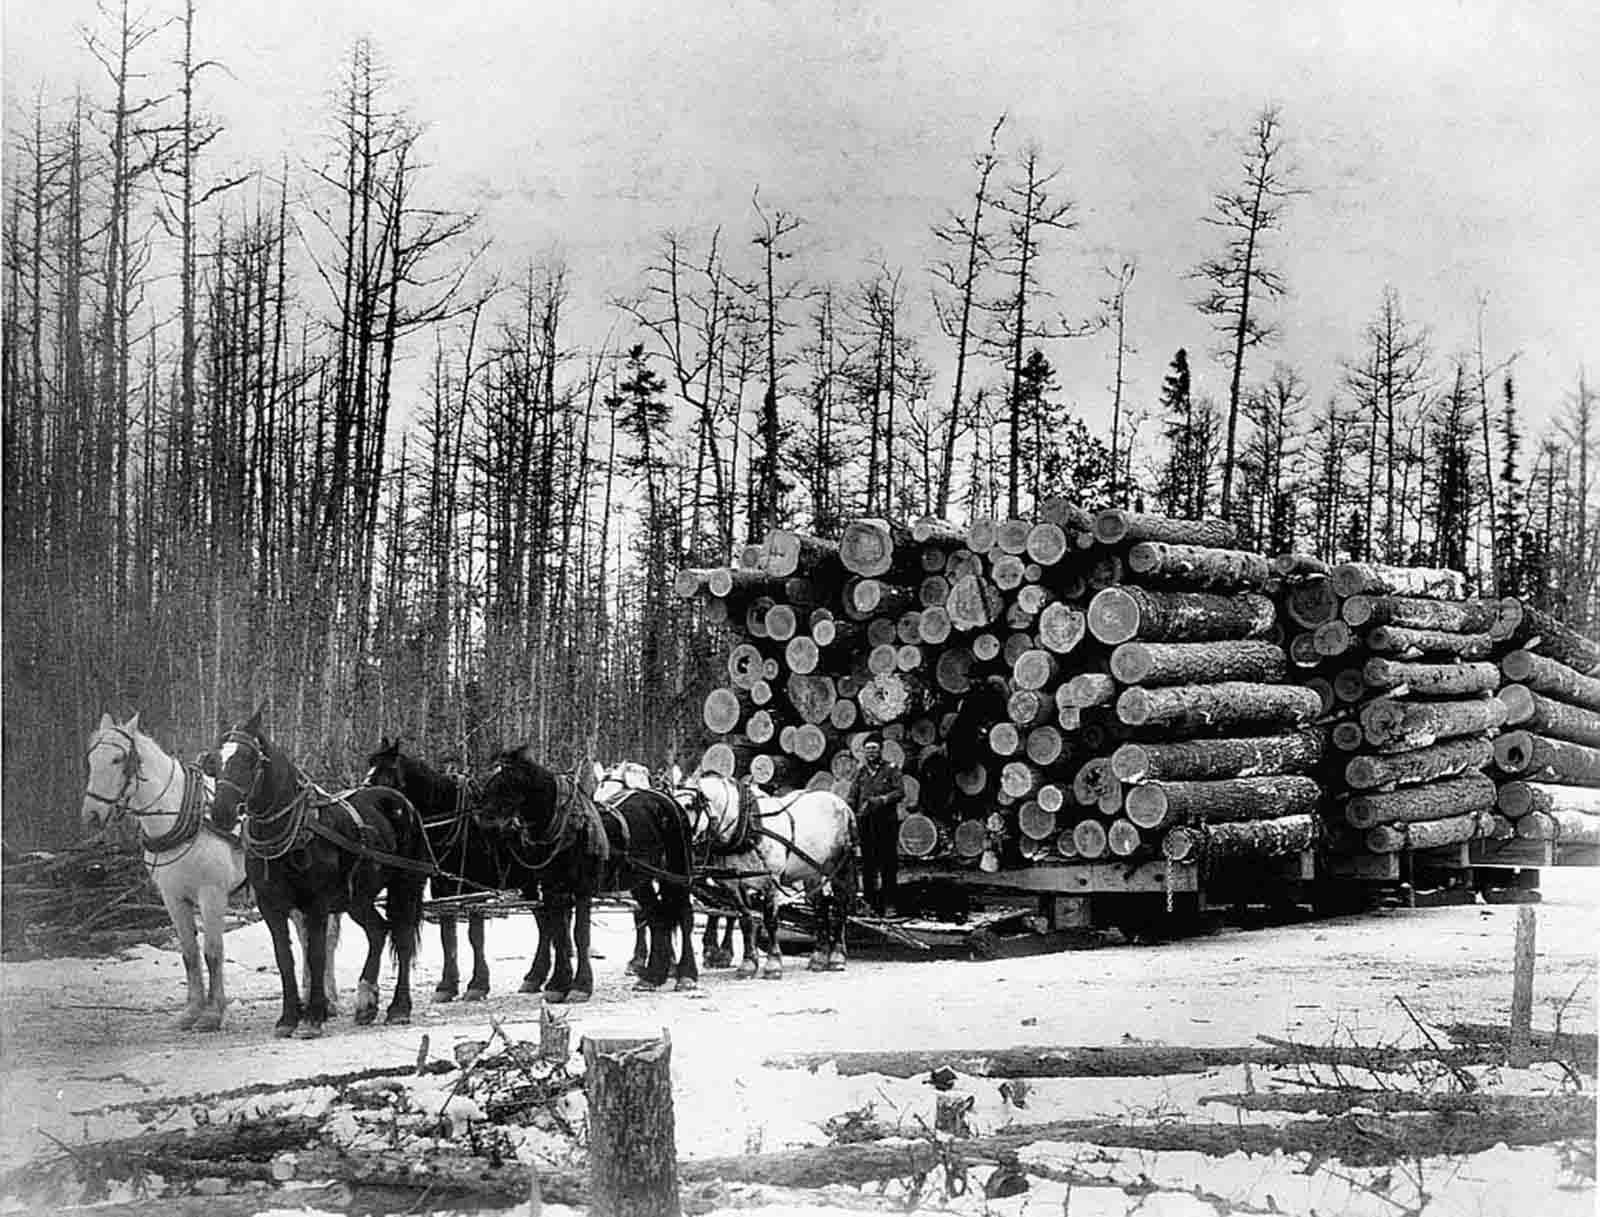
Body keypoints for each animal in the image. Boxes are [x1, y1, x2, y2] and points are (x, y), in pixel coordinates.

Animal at [81, 706, 337, 1029]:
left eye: (117, 759)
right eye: (92, 758)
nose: (91, 814)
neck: (180, 816)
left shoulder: (212, 894)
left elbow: (213, 953)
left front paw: (213, 1013)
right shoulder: (173, 898)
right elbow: (189, 953)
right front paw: (191, 1011)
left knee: (320, 939)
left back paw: (327, 998)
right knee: (306, 937)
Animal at [211, 706, 432, 1042]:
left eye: (249, 758)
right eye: (216, 759)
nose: (220, 812)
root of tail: (400, 801)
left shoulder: (316, 904)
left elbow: (316, 955)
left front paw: (314, 1016)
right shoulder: (271, 906)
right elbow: (285, 958)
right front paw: (288, 1018)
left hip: (406, 885)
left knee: (403, 937)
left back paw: (399, 1008)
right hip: (357, 898)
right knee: (378, 931)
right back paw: (366, 1003)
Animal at [363, 735, 550, 1004]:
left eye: (387, 771)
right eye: (369, 765)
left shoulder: (475, 890)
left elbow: (475, 936)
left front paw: (477, 985)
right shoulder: (444, 889)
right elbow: (447, 936)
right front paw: (447, 985)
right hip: (529, 884)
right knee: (545, 923)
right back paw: (536, 977)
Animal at [473, 751, 700, 997]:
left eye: (508, 783)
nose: (483, 823)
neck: (566, 827)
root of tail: (669, 800)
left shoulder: (583, 888)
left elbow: (580, 934)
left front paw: (580, 986)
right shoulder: (553, 889)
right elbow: (559, 934)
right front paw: (557, 985)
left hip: (678, 872)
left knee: (684, 916)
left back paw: (686, 975)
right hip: (641, 879)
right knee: (656, 916)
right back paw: (653, 976)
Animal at [665, 767, 857, 978]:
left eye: (690, 805)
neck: (746, 827)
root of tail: (841, 802)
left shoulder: (771, 882)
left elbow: (770, 920)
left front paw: (773, 964)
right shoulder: (734, 884)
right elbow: (746, 920)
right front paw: (748, 964)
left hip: (840, 867)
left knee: (839, 906)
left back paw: (837, 957)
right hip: (811, 872)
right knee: (820, 908)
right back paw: (819, 957)